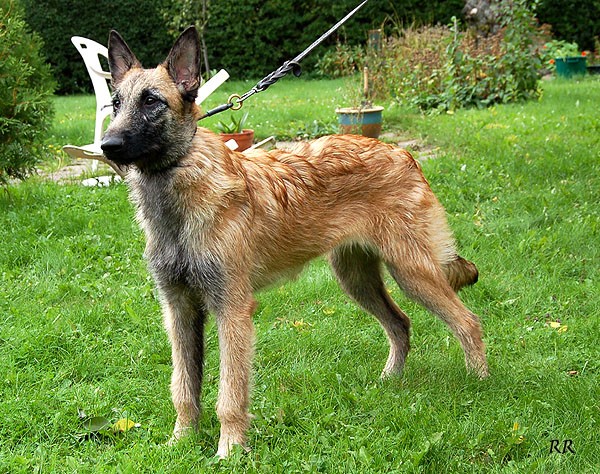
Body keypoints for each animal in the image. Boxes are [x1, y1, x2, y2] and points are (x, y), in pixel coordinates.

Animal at [101, 26, 490, 460]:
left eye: (152, 102)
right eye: (115, 103)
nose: (107, 146)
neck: (177, 195)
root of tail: (401, 152)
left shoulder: (232, 310)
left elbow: (229, 395)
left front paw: (229, 450)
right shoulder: (179, 309)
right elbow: (184, 388)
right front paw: (181, 442)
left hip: (413, 273)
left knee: (468, 322)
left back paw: (479, 385)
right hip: (357, 279)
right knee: (401, 323)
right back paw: (390, 379)